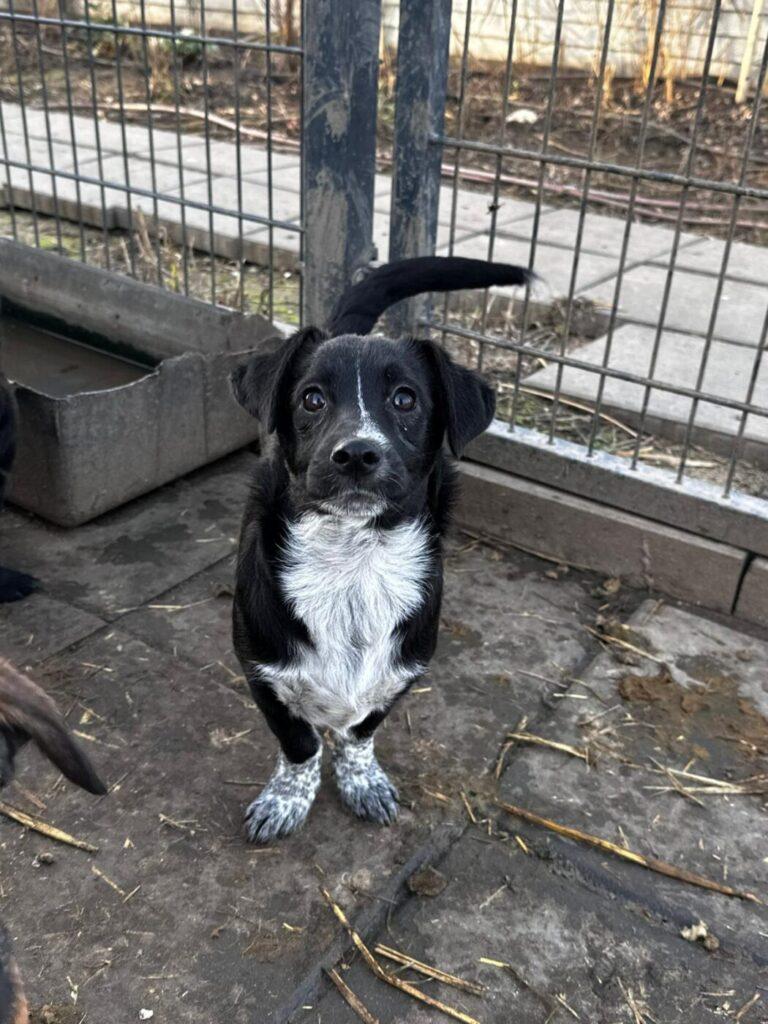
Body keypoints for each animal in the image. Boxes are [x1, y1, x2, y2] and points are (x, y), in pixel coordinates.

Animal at [230, 256, 531, 843]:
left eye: (405, 398)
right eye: (312, 398)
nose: (356, 454)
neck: (355, 561)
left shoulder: (400, 672)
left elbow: (358, 733)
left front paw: (361, 781)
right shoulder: (261, 671)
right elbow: (300, 743)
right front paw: (287, 798)